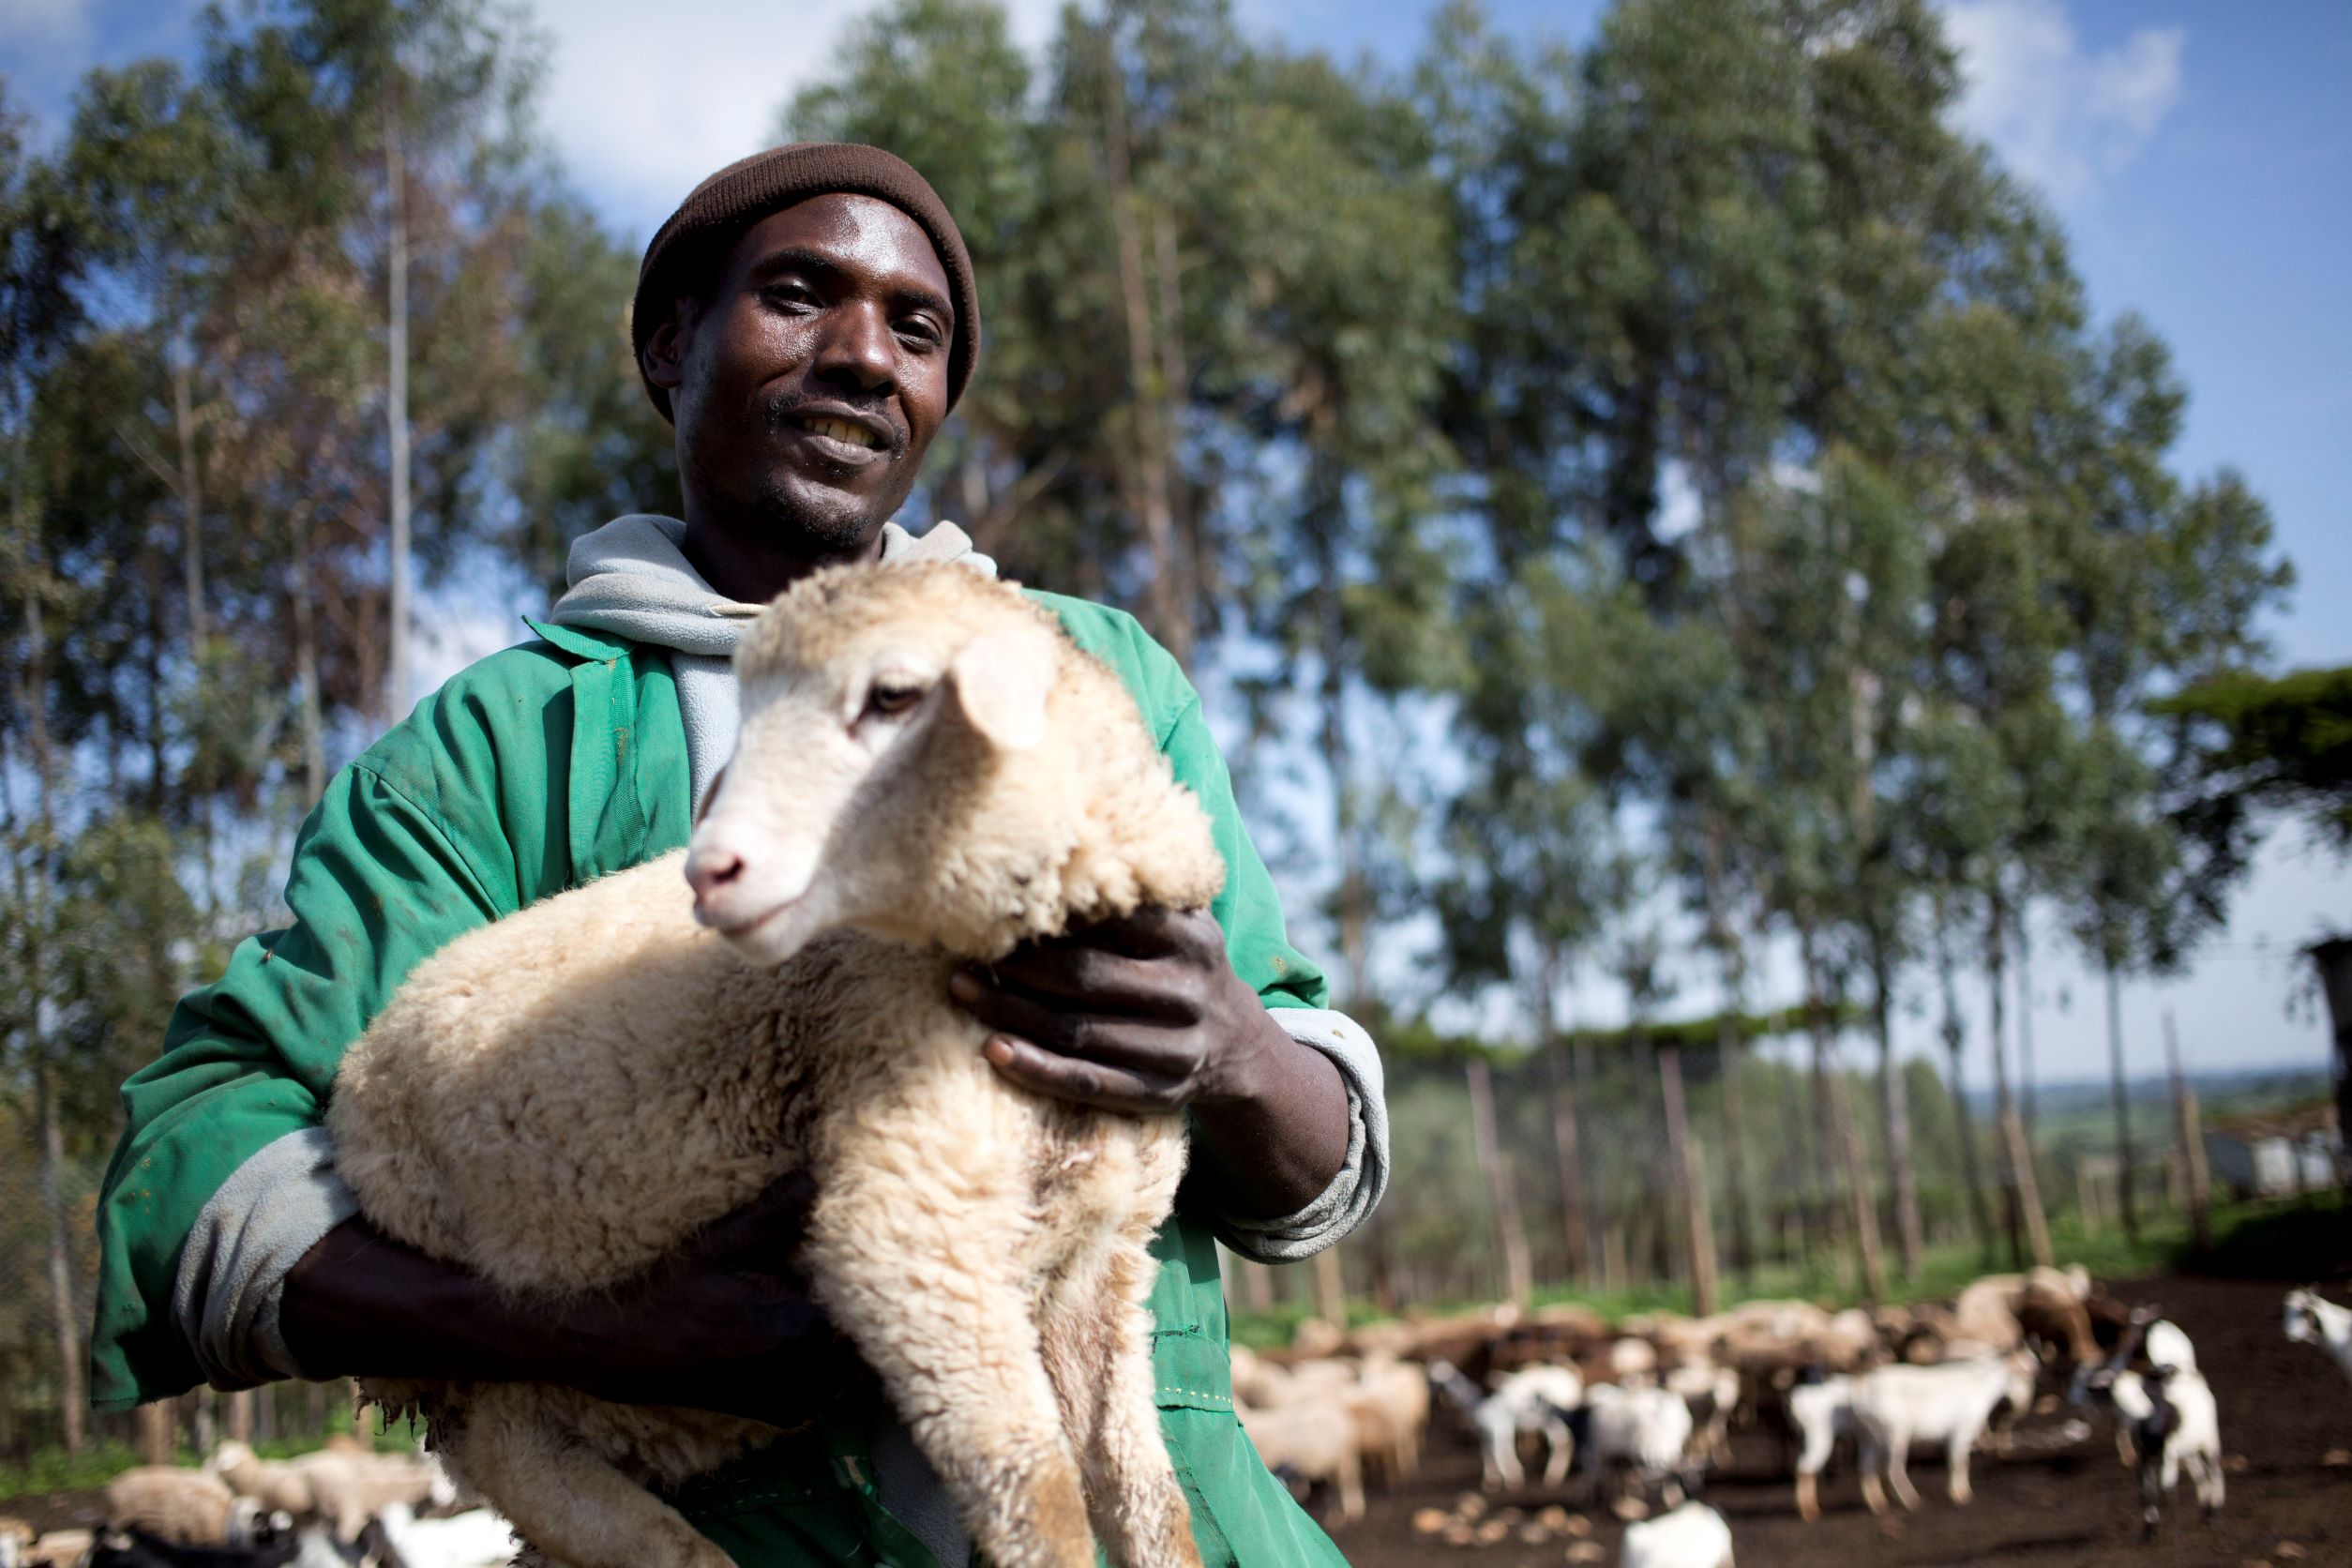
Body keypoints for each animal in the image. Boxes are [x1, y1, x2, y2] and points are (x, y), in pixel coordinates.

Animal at [329, 564, 1232, 1568]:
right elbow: (1044, 1503)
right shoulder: (913, 1222)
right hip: (503, 1377)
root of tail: (360, 1068)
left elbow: (1146, 1497)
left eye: (893, 696)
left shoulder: (1100, 1263)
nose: (711, 869)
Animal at [1853, 1353, 2041, 1504]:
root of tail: (1863, 1388)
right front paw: (1961, 1495)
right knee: (1891, 1468)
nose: (2023, 1405)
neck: (1981, 1387)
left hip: (1868, 1435)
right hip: (1895, 1433)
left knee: (1867, 1466)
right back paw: (1910, 1500)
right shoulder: (1962, 1430)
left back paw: (1878, 1503)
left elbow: (1957, 1462)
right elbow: (1960, 1462)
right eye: (2023, 1376)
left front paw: (1958, 1492)